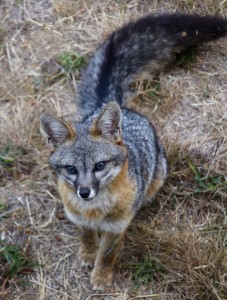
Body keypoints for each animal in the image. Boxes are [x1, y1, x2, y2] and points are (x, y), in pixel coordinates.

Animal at [40, 12, 227, 290]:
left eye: (99, 166)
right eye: (71, 169)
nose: (84, 192)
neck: (95, 211)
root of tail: (105, 108)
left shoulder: (117, 227)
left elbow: (107, 254)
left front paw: (101, 277)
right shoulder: (78, 218)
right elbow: (86, 236)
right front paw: (87, 254)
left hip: (156, 179)